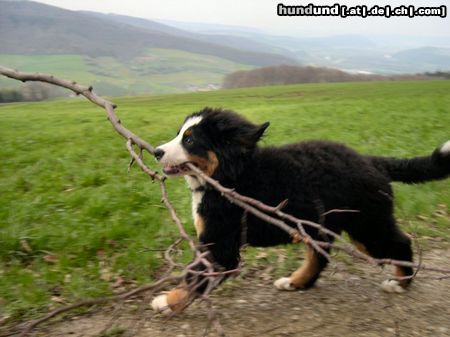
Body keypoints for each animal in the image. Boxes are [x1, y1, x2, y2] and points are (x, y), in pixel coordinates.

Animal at [151, 107, 450, 312]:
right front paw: (171, 299)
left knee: (400, 243)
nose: (156, 152)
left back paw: (400, 284)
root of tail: (371, 161)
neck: (231, 175)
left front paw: (167, 301)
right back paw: (296, 282)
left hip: (367, 225)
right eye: (180, 134)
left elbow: (195, 275)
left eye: (190, 140)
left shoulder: (220, 244)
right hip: (323, 226)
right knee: (320, 256)